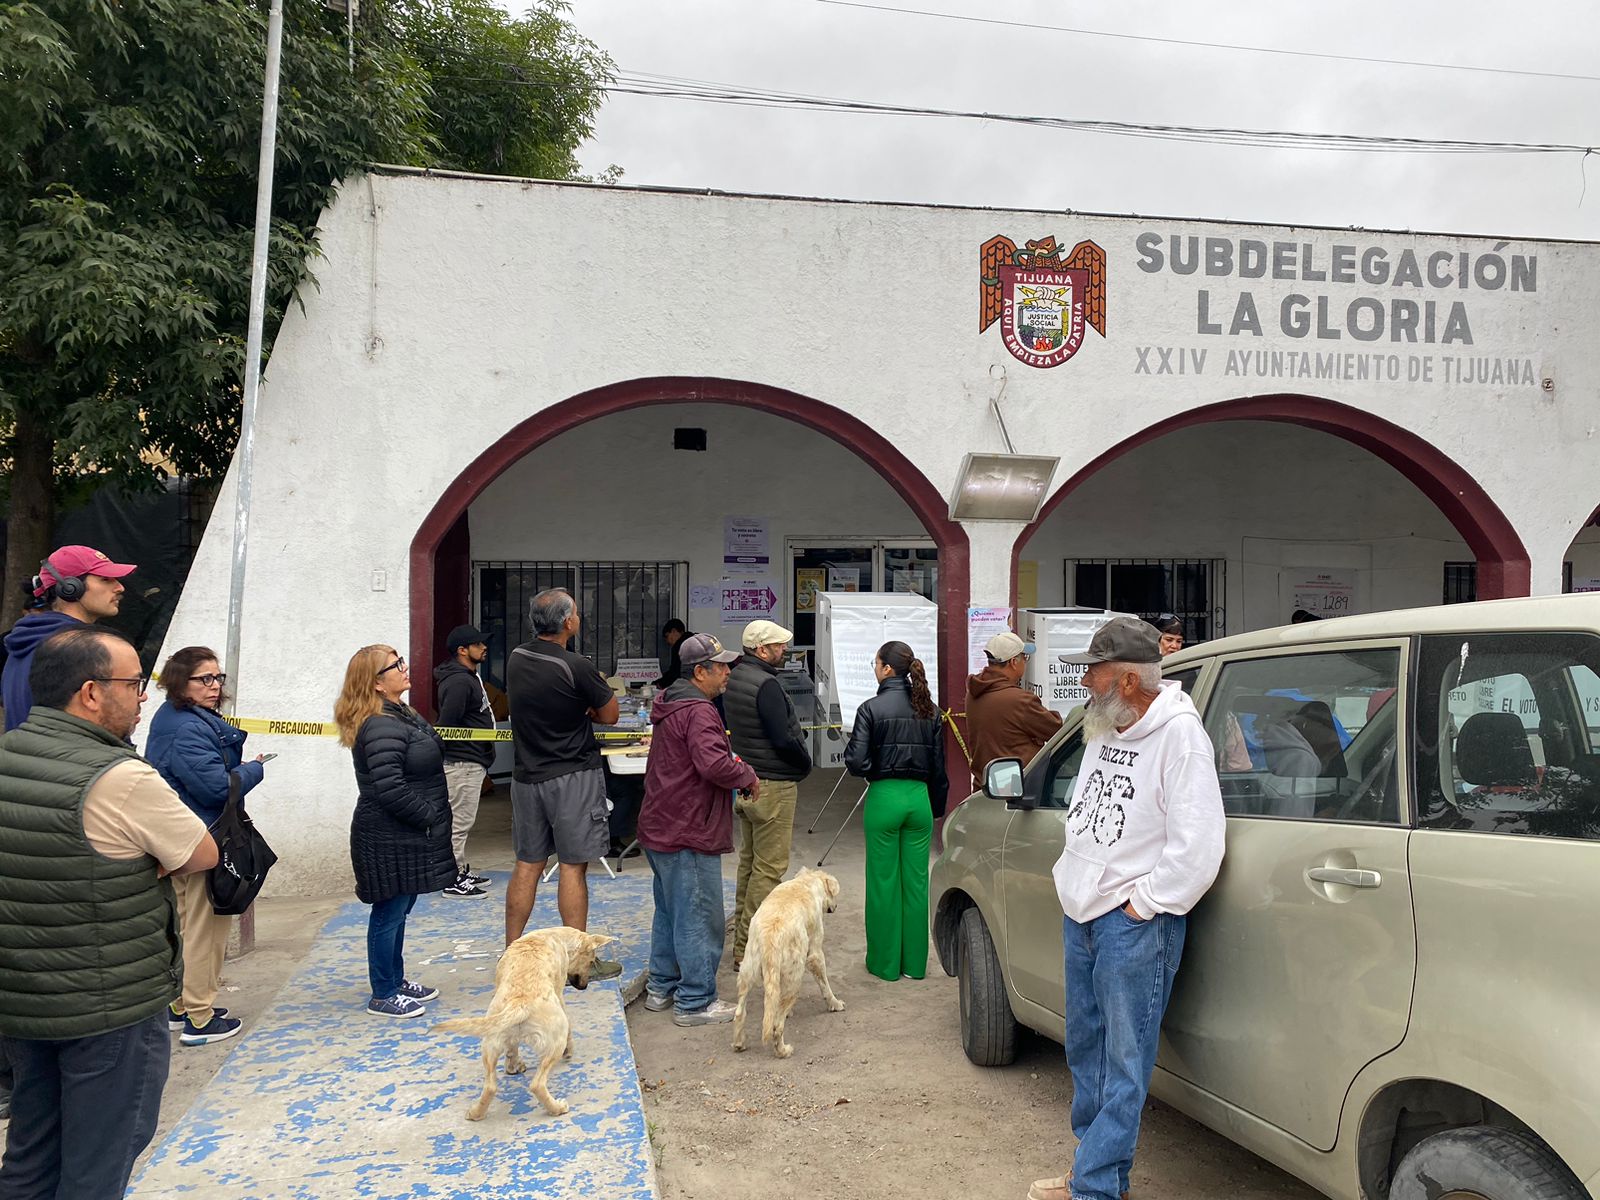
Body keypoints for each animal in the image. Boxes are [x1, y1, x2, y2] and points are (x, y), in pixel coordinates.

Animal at [435, 928, 614, 1120]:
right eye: (590, 961)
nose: (584, 987)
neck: (556, 935)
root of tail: (520, 1003)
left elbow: (512, 1050)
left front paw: (513, 1066)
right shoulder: (559, 994)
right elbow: (570, 1027)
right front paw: (570, 1050)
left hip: (490, 1042)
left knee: (490, 1086)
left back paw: (476, 1113)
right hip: (554, 1043)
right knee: (537, 1085)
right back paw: (557, 1108)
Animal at [732, 870, 844, 1056]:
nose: (835, 907)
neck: (806, 881)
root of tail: (771, 935)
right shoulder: (815, 953)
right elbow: (825, 986)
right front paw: (835, 1004)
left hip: (747, 972)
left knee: (740, 1012)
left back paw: (739, 1043)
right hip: (795, 977)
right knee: (777, 1026)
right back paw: (783, 1051)